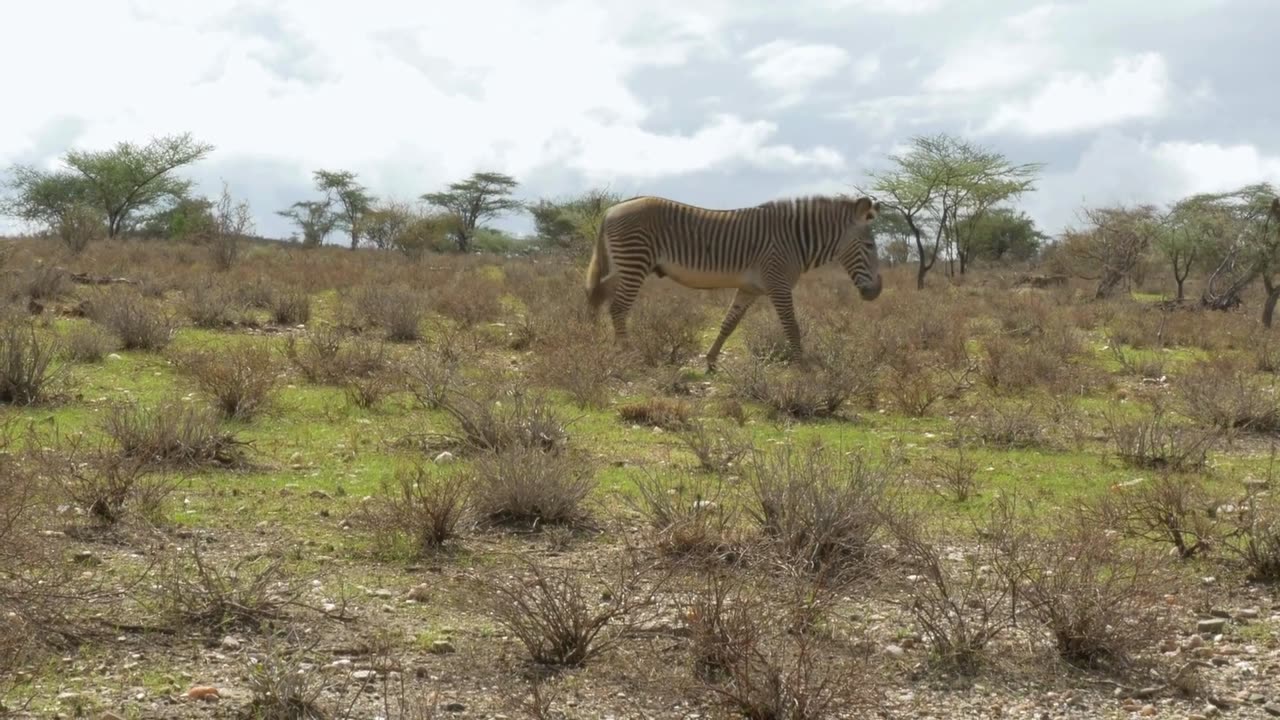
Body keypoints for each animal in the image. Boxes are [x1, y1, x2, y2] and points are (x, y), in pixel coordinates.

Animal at [583, 192, 875, 368]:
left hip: (624, 265)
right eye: (871, 246)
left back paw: (591, 341)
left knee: (595, 294)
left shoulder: (749, 289)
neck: (794, 241)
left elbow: (728, 324)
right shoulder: (778, 284)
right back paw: (627, 353)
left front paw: (711, 361)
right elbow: (792, 326)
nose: (876, 292)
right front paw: (802, 367)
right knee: (617, 307)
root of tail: (611, 209)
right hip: (634, 263)